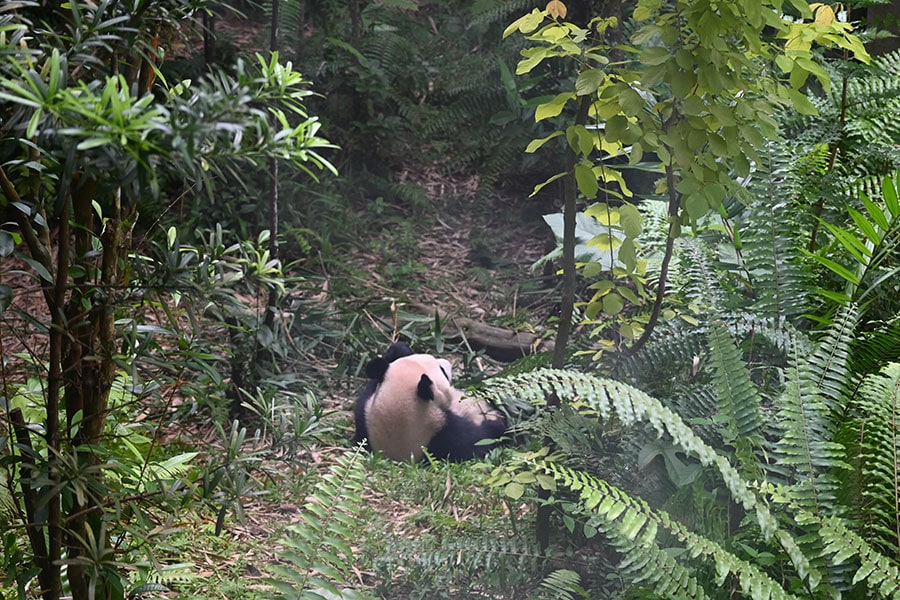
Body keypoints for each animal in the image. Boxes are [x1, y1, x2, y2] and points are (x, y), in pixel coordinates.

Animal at [354, 340, 506, 462]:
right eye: (442, 370)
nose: (448, 362)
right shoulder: (446, 437)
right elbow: (483, 440)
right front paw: (498, 425)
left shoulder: (364, 411)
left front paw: (400, 349)